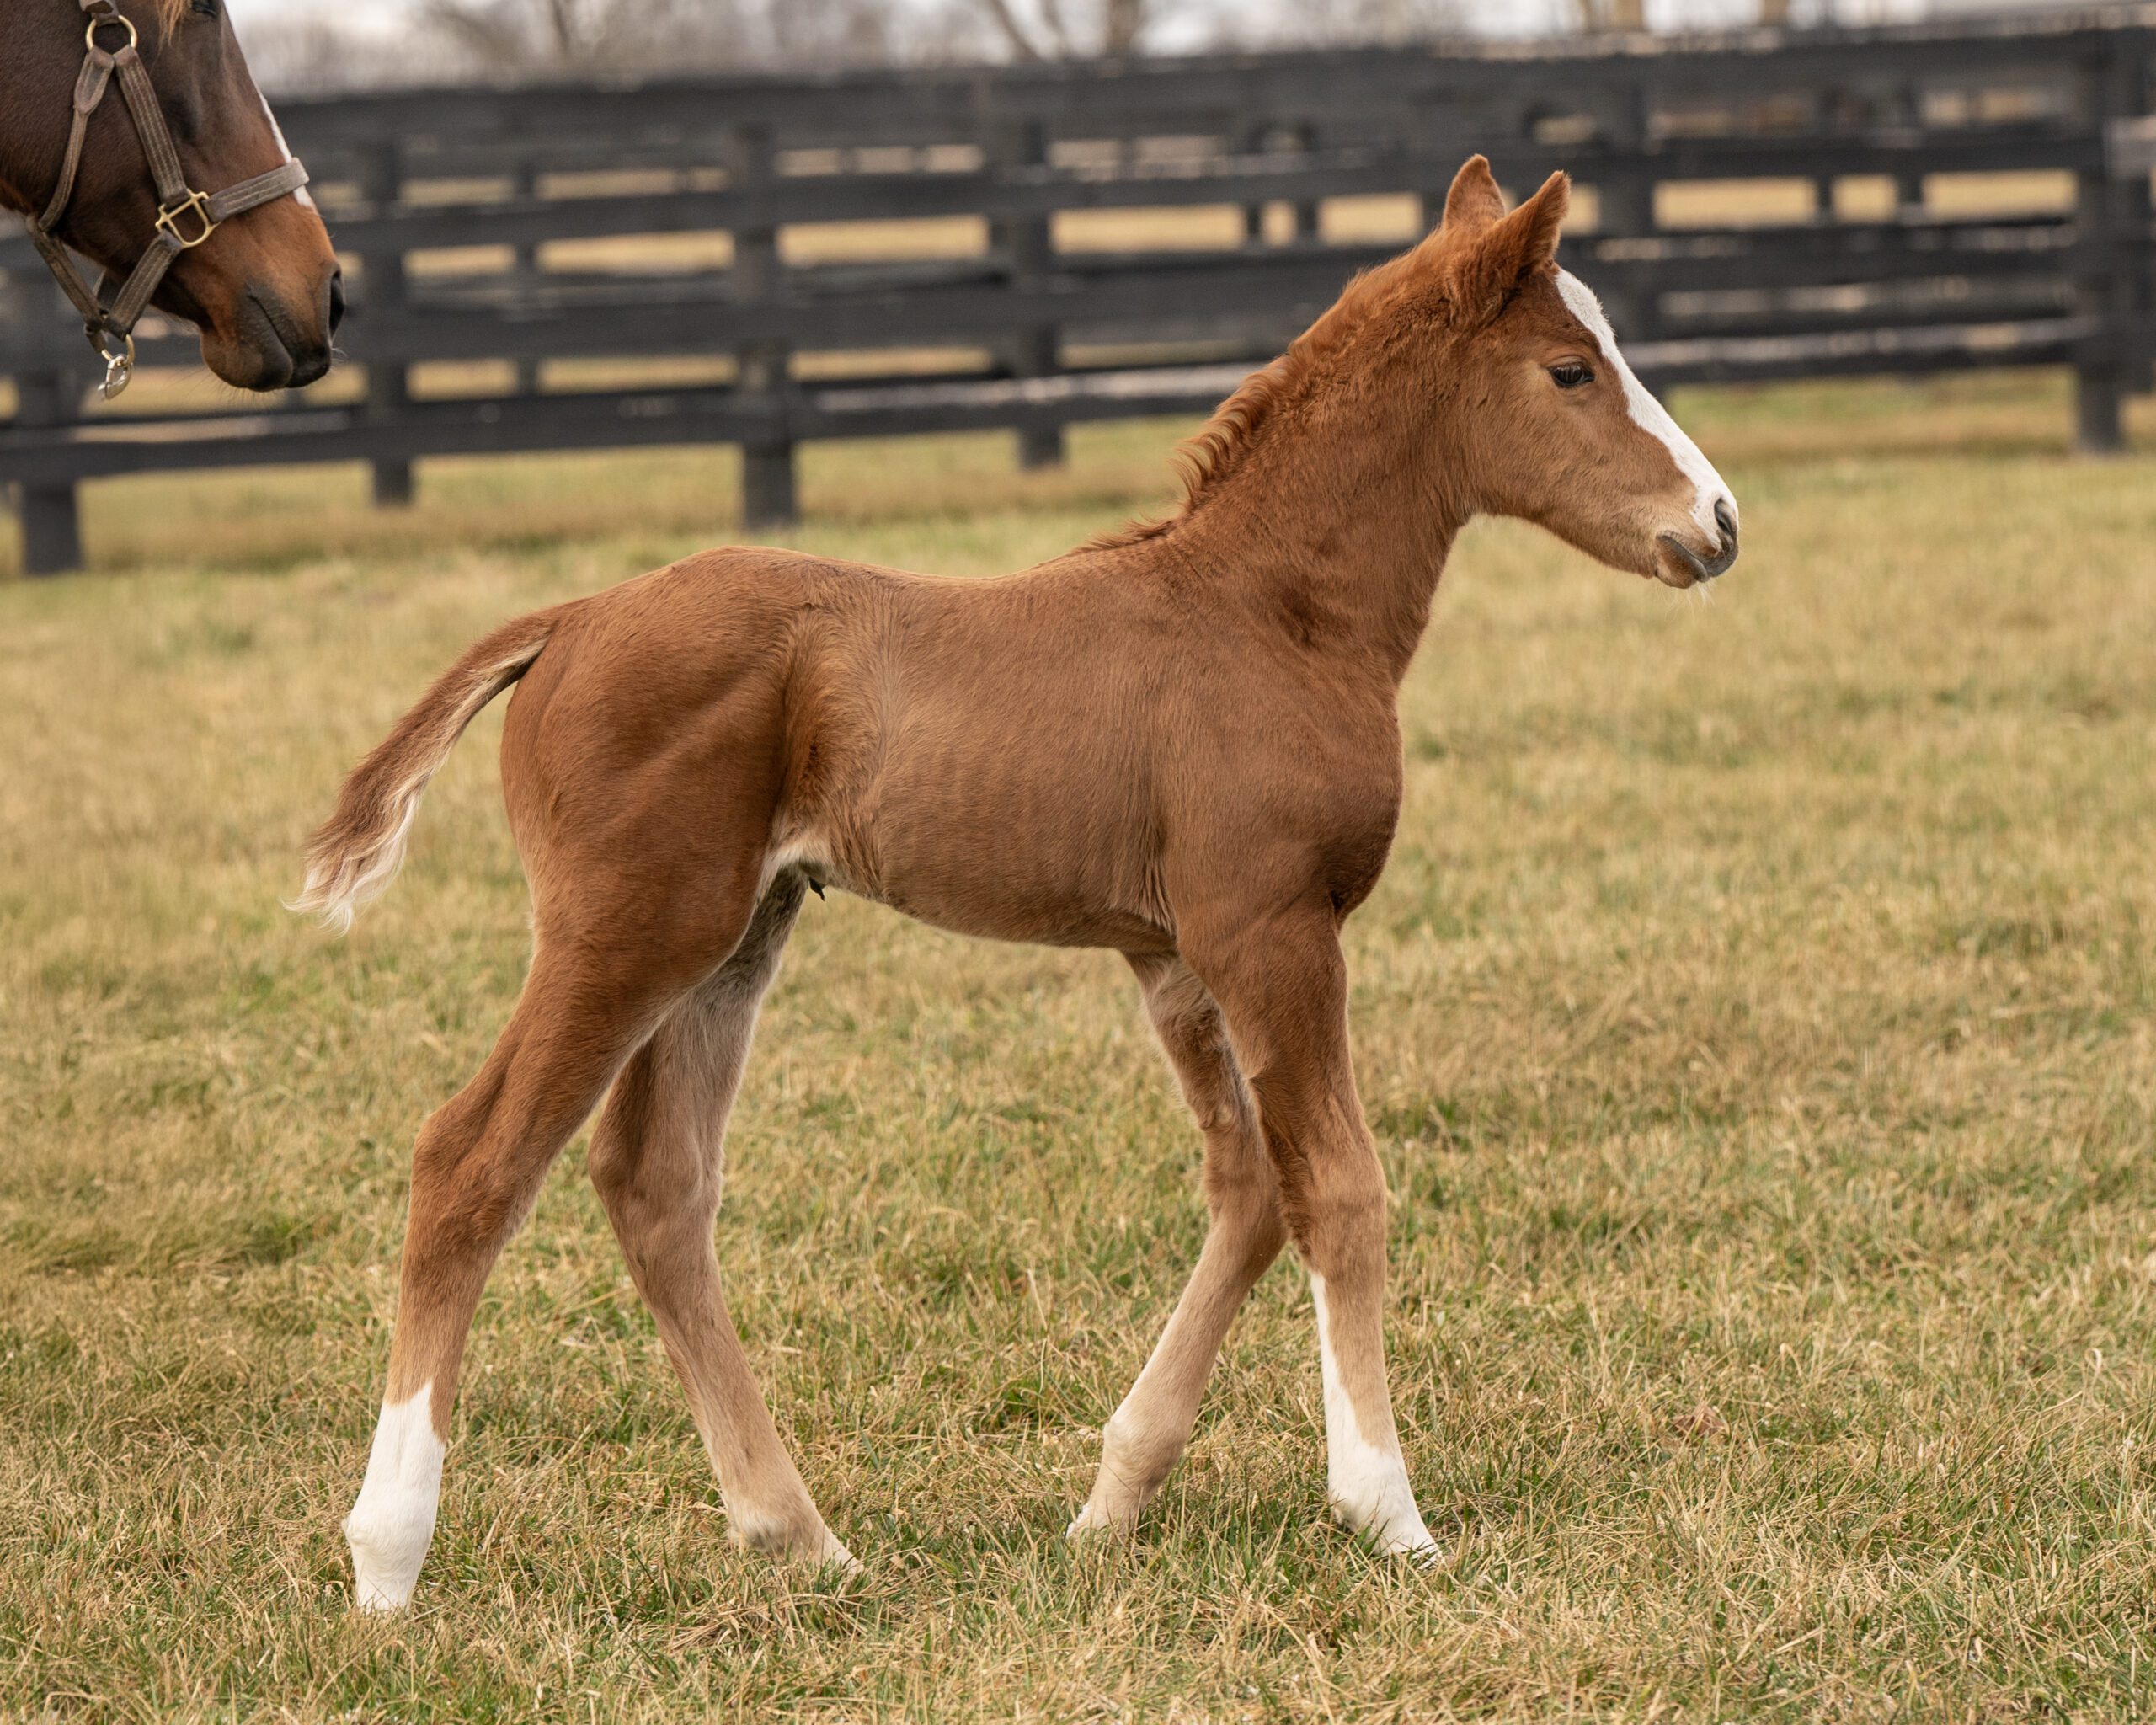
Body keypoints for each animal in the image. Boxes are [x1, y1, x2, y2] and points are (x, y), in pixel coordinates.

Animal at [295, 155, 1740, 1611]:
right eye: (1570, 369)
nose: (1718, 524)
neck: (1271, 616)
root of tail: (569, 621)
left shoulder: (1175, 954)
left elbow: (1251, 1190)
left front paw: (1112, 1500)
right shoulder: (1274, 931)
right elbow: (1339, 1189)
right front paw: (1387, 1512)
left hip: (735, 937)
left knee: (656, 1187)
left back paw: (801, 1537)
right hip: (624, 932)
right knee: (471, 1162)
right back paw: (388, 1560)